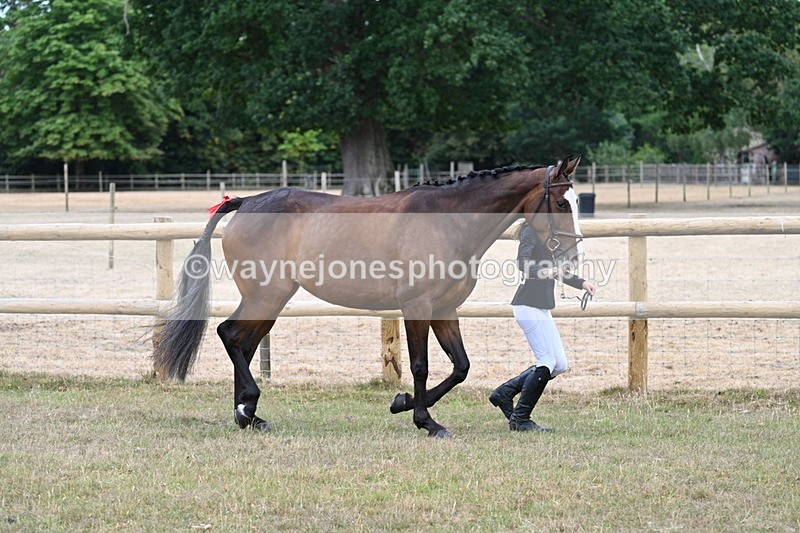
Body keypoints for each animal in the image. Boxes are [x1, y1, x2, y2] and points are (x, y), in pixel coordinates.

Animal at [152, 156, 583, 438]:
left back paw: (248, 414)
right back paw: (247, 409)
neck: (448, 221)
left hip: (270, 301)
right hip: (265, 297)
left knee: (242, 342)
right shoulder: (417, 307)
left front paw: (403, 403)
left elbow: (460, 367)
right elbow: (421, 366)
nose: (571, 257)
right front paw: (426, 421)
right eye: (562, 202)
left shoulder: (445, 308)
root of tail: (247, 202)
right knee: (229, 335)